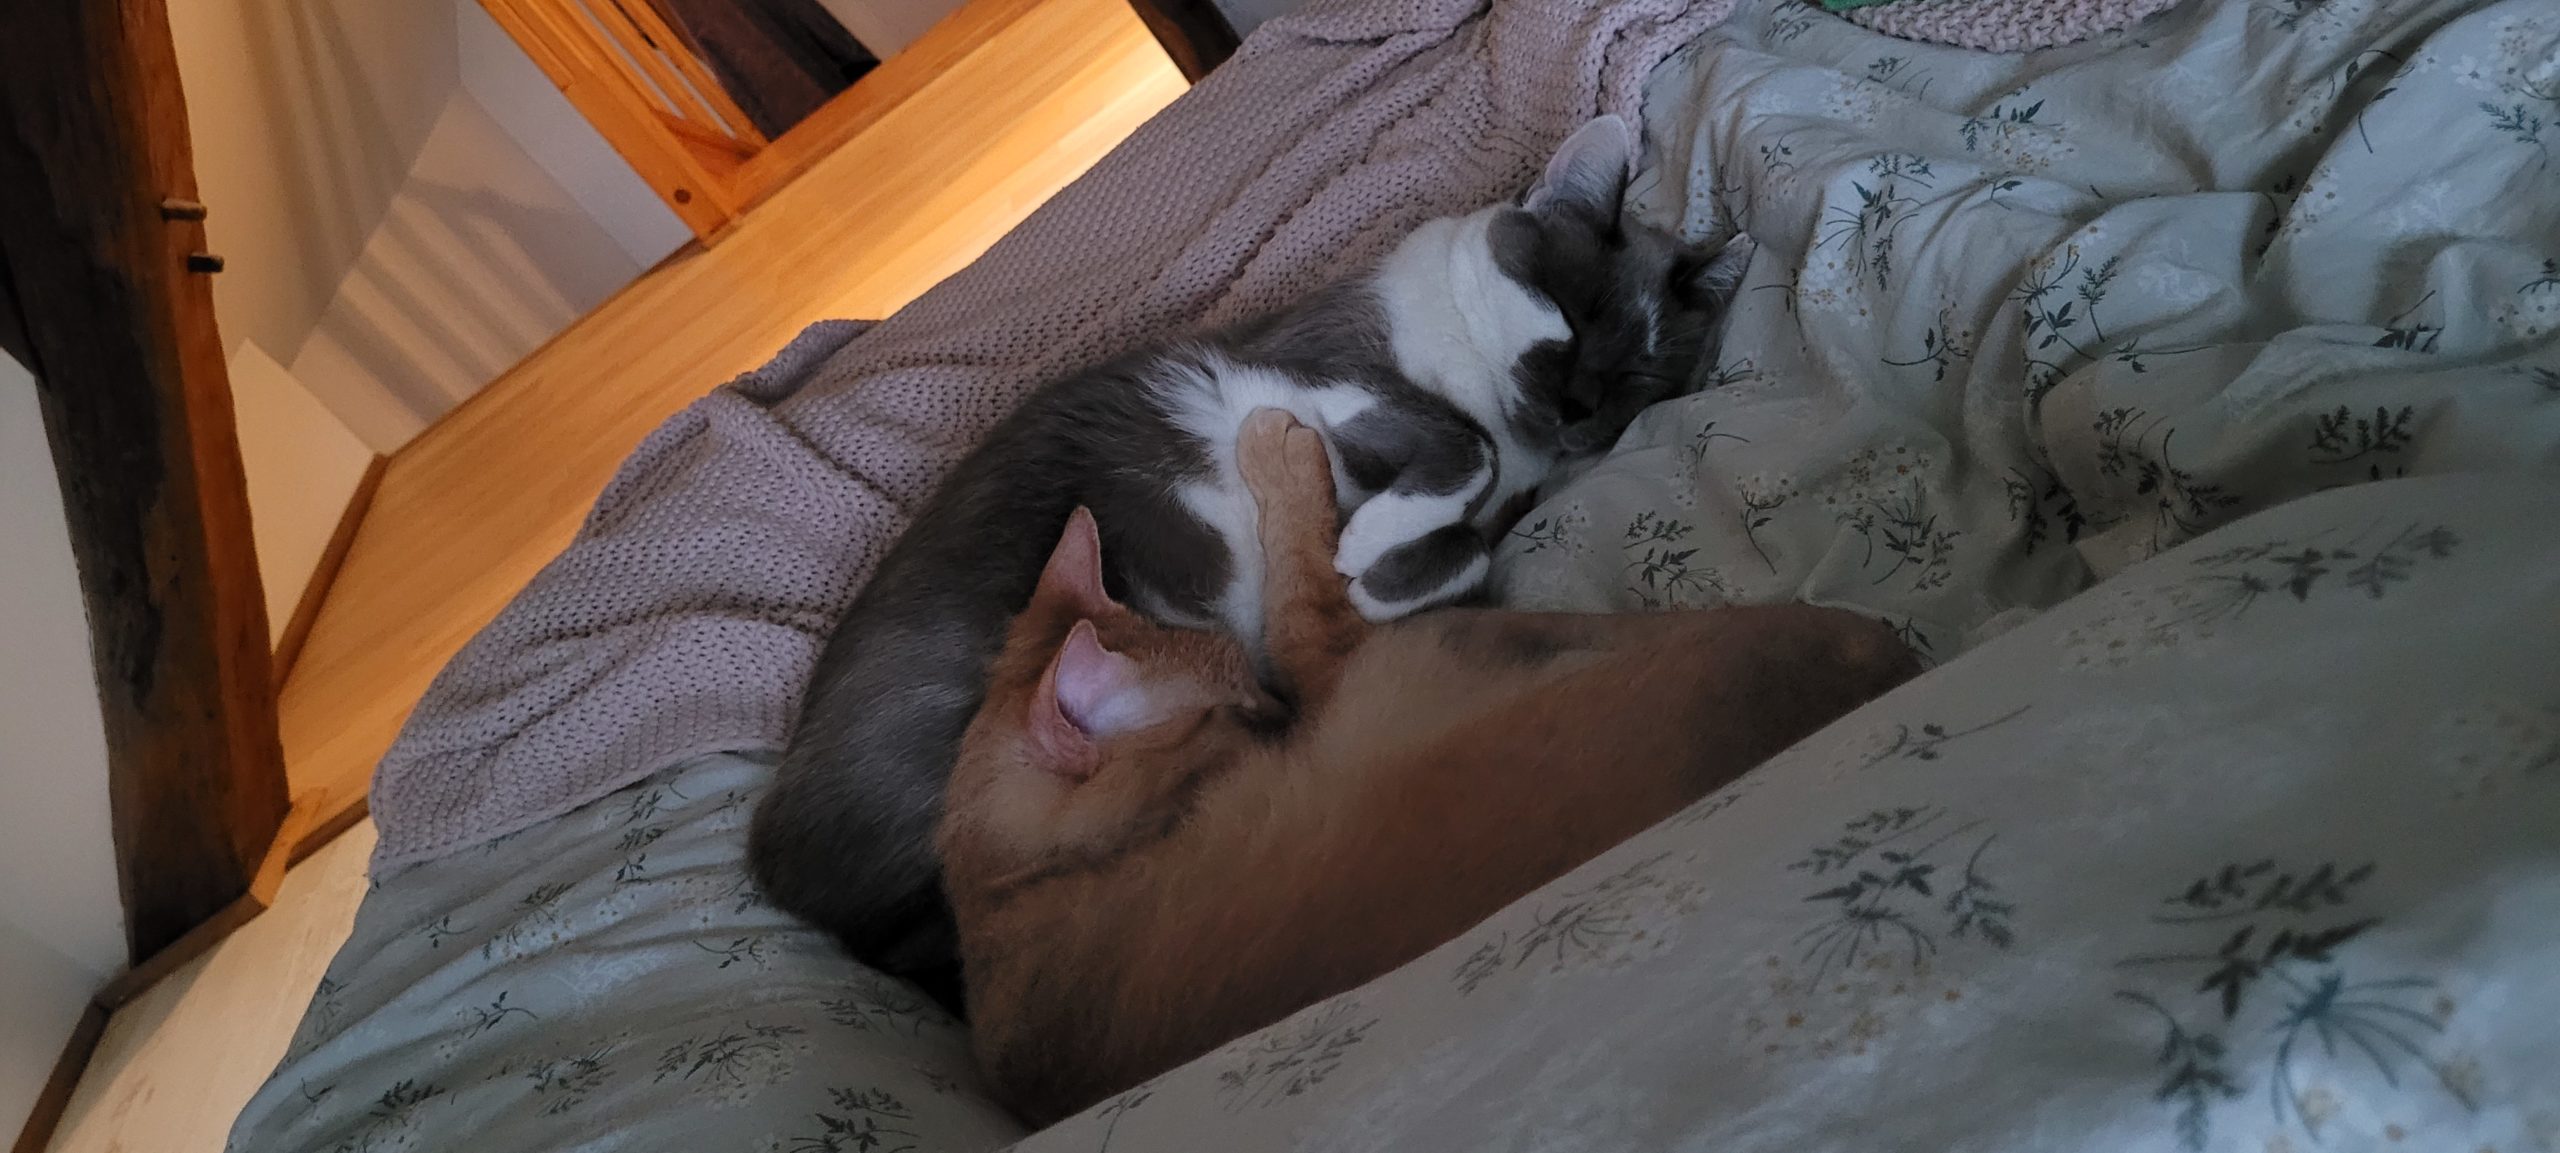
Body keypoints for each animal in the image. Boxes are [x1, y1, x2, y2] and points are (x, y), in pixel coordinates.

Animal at [742, 112, 1740, 1004]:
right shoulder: (1311, 375)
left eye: (1636, 375)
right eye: (1569, 315)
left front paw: (1369, 568)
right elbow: (1463, 447)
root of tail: (772, 863)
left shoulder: (1492, 503)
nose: (1576, 404)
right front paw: (1366, 544)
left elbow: (1458, 546)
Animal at [931, 409, 1914, 1122]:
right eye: (1238, 707)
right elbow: (1301, 583)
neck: (1009, 895)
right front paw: (1278, 451)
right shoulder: (1343, 653)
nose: (1278, 713)